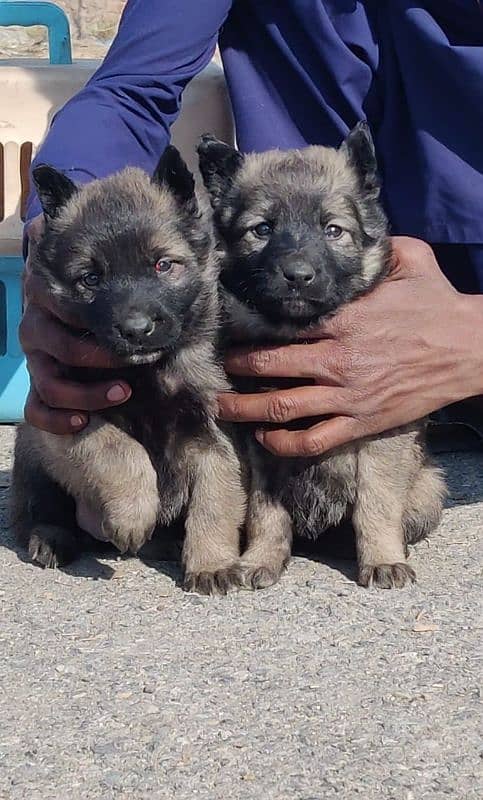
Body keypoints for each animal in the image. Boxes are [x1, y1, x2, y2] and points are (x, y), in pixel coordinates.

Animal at [10, 147, 246, 592]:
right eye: (90, 278)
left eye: (163, 266)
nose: (136, 330)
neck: (149, 372)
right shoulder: (72, 415)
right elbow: (120, 447)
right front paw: (133, 515)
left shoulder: (215, 432)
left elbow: (217, 494)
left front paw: (212, 562)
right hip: (33, 449)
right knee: (42, 509)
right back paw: (51, 538)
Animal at [198, 123, 446, 588]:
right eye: (262, 229)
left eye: (333, 230)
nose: (298, 276)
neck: (298, 336)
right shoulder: (258, 445)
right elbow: (264, 512)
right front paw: (260, 558)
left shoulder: (381, 433)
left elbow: (377, 502)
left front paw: (383, 559)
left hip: (429, 487)